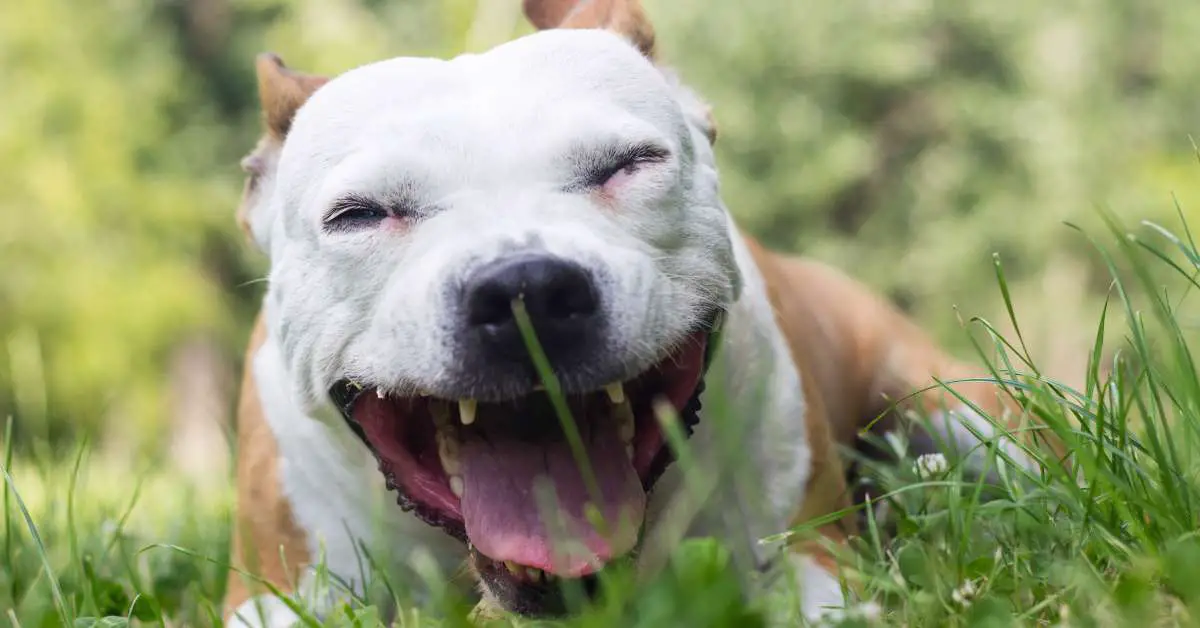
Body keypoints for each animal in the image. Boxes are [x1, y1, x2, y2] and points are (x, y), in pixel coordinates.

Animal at [223, 1, 1051, 624]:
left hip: (961, 409)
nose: (526, 290)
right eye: (359, 214)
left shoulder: (809, 559)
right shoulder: (273, 592)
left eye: (630, 164)